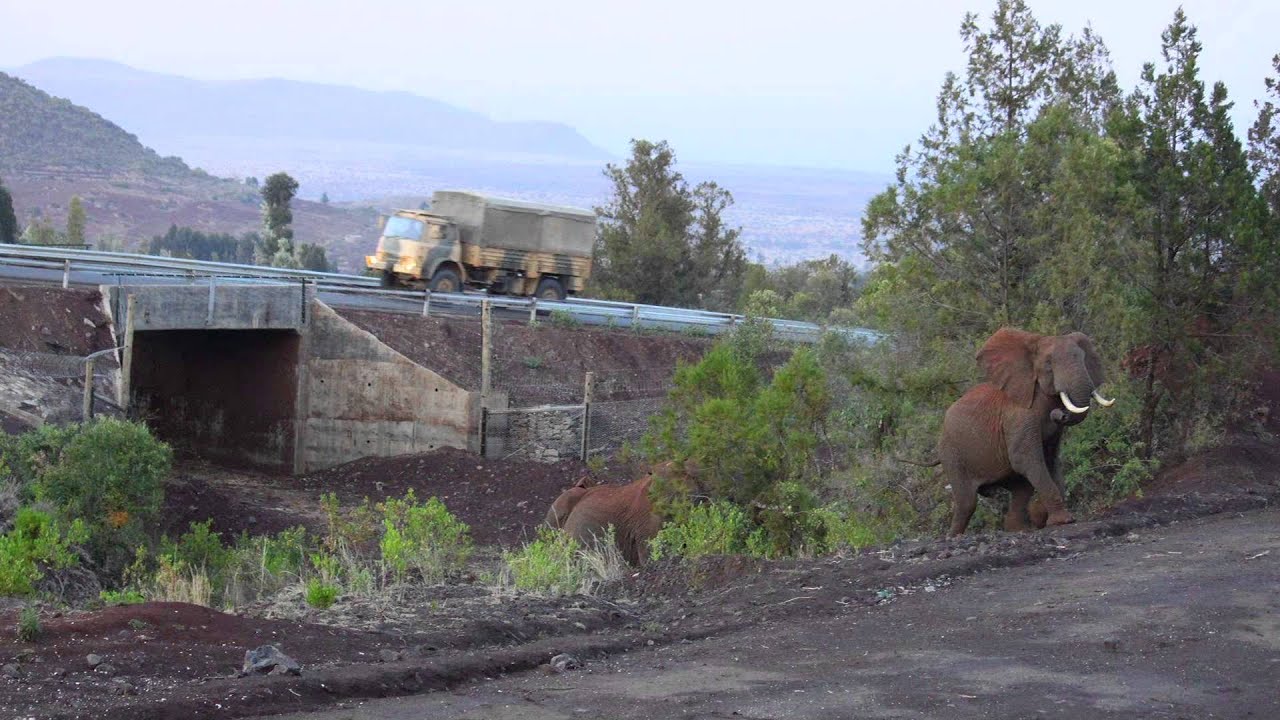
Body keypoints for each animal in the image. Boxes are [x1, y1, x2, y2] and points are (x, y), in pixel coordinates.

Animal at [940, 328, 1114, 535]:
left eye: (1083, 359)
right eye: (1049, 364)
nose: (1058, 413)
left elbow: (1051, 460)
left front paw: (1043, 516)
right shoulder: (1018, 416)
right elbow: (1026, 458)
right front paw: (1062, 520)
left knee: (1021, 489)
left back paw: (1020, 529)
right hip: (952, 454)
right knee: (967, 502)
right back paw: (953, 536)